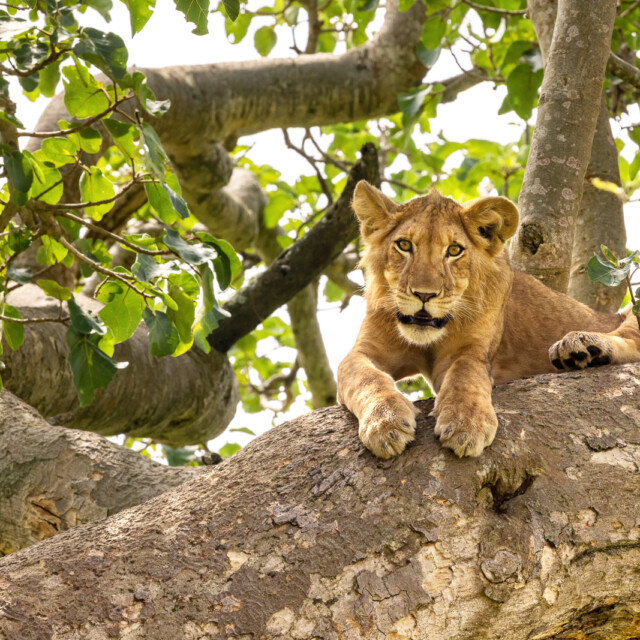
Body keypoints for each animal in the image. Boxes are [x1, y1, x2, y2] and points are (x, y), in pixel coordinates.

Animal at [337, 181, 640, 459]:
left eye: (454, 250)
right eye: (404, 245)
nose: (425, 294)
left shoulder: (473, 350)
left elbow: (466, 375)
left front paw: (466, 424)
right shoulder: (363, 352)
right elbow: (367, 378)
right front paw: (385, 421)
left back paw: (580, 346)